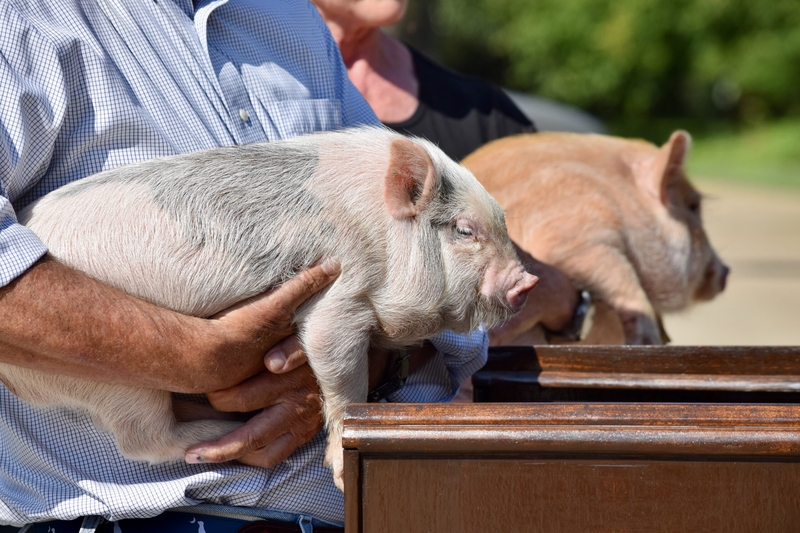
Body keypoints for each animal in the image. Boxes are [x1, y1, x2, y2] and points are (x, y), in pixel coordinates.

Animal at [3, 127, 537, 490]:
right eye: (464, 230)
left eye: (503, 222)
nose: (527, 281)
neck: (382, 236)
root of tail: (14, 381)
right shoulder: (336, 293)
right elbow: (340, 370)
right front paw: (340, 474)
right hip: (112, 375)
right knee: (143, 439)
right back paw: (216, 433)